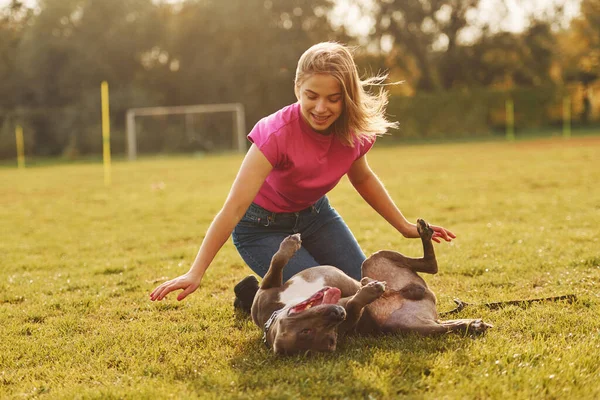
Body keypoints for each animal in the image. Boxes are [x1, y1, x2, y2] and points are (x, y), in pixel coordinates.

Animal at [251, 220, 490, 354]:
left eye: (305, 330)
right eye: (330, 339)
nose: (338, 313)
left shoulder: (267, 291)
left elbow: (276, 262)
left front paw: (290, 244)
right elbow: (355, 304)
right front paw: (368, 291)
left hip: (377, 258)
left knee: (429, 267)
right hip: (416, 326)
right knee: (433, 275)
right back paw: (472, 325)